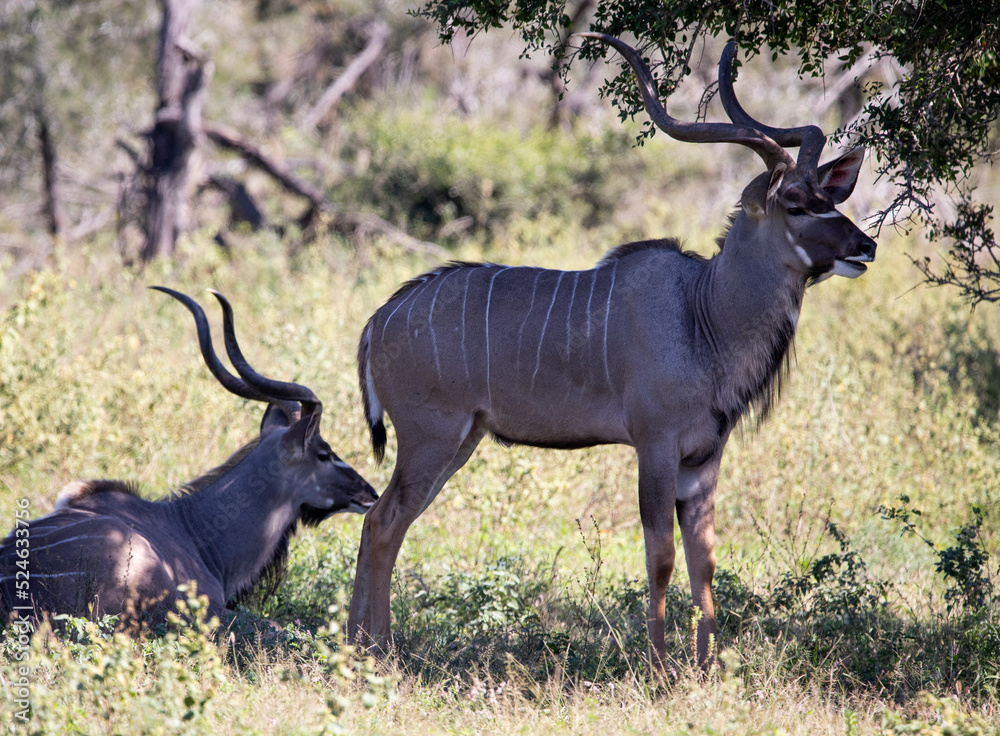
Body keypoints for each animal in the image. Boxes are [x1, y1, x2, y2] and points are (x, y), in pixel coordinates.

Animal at [346, 34, 877, 671]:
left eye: (829, 196)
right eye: (797, 203)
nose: (865, 246)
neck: (703, 312)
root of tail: (379, 320)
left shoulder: (704, 459)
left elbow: (705, 561)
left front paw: (706, 668)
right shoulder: (655, 445)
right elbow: (661, 555)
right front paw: (661, 668)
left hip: (461, 440)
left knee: (379, 522)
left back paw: (355, 646)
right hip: (431, 438)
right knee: (383, 522)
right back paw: (379, 651)